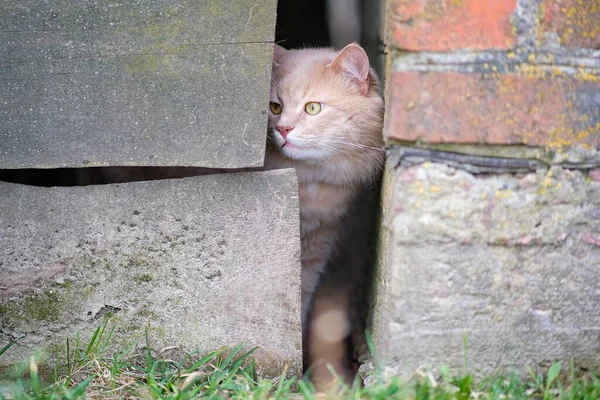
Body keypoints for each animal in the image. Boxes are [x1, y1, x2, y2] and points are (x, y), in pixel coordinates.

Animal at [264, 42, 384, 386]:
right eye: (275, 107)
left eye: (313, 108)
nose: (282, 128)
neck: (313, 183)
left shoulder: (317, 249)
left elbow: (300, 301)